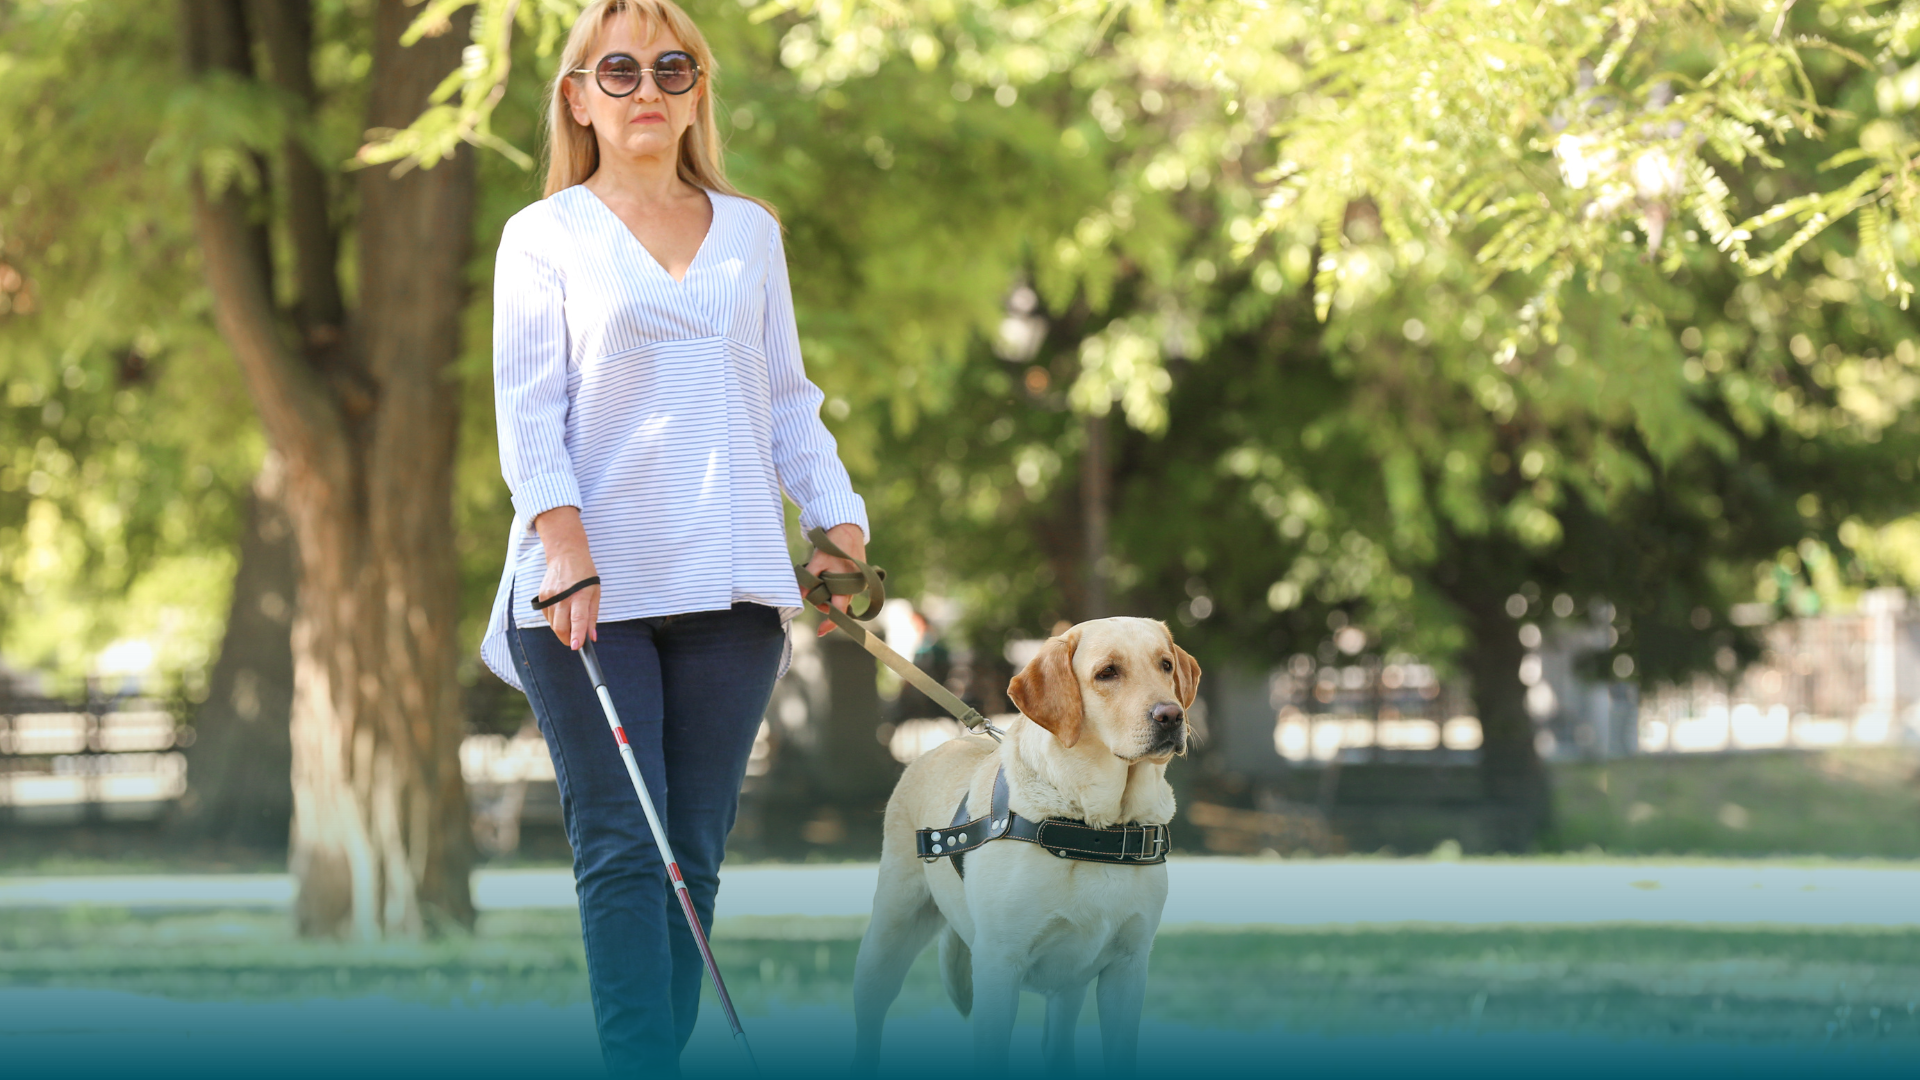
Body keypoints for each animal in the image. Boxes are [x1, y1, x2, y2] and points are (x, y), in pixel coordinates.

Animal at [848, 618, 1190, 1068]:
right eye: (1107, 673)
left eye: (1165, 665)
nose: (1172, 715)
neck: (1095, 828)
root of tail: (940, 745)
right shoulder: (998, 963)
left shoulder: (1128, 969)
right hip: (889, 936)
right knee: (869, 1017)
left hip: (1068, 988)